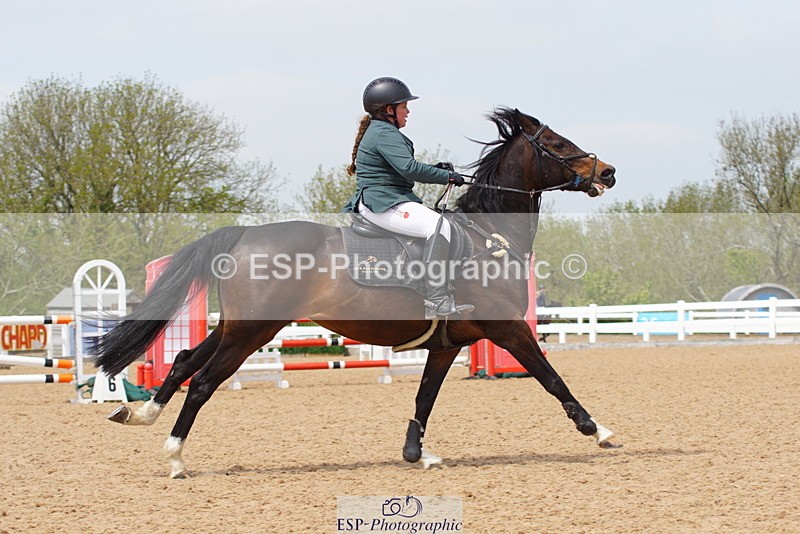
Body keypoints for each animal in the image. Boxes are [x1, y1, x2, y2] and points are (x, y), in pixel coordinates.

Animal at [94, 107, 618, 478]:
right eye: (556, 143)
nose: (607, 172)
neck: (488, 238)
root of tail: (244, 235)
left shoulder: (448, 345)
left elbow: (425, 397)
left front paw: (416, 454)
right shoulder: (507, 330)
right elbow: (552, 379)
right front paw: (599, 431)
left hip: (238, 327)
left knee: (185, 360)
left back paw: (141, 415)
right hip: (251, 332)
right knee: (203, 382)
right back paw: (175, 458)